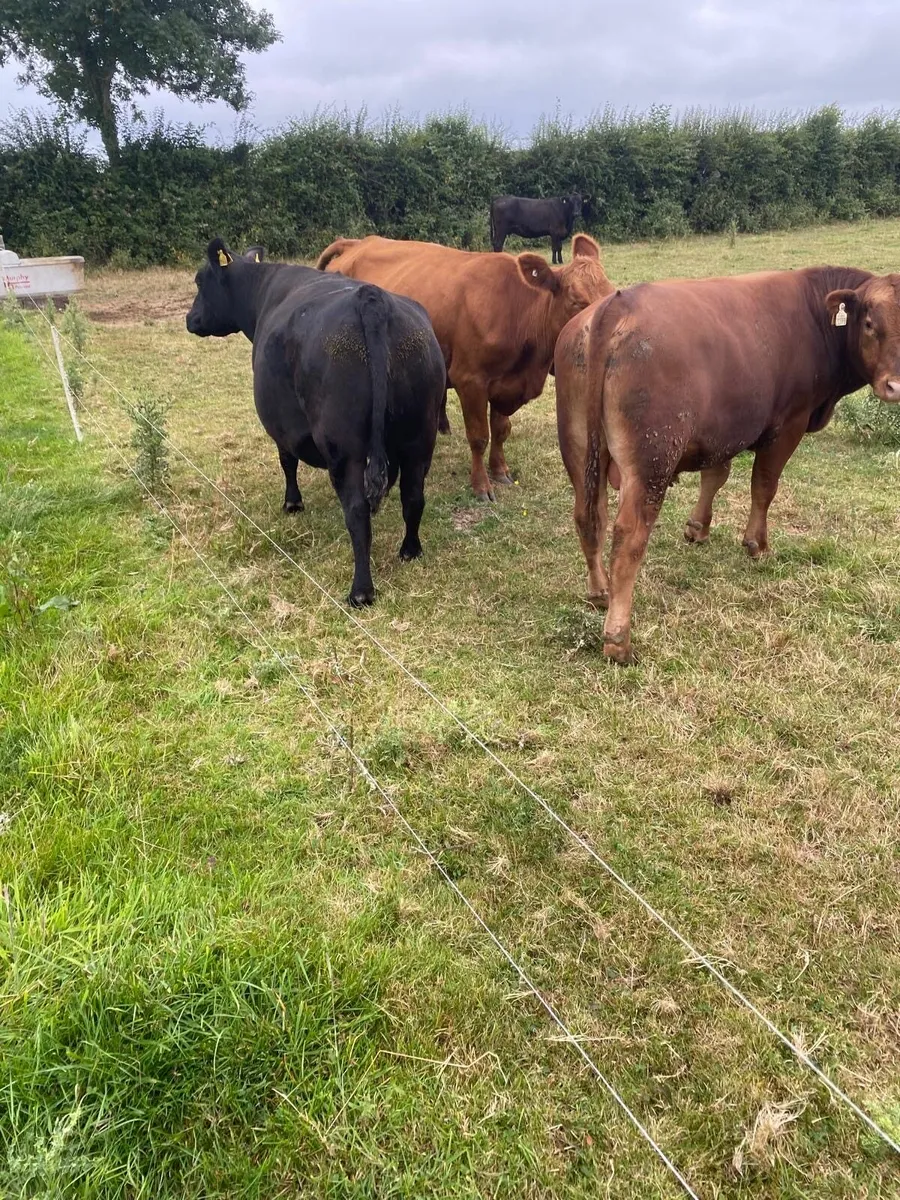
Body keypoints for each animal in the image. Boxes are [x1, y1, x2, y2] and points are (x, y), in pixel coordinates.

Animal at [186, 237, 447, 607]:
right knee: (413, 497)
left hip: (345, 447)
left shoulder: (282, 425)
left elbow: (287, 462)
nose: (190, 318)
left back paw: (361, 591)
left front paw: (292, 503)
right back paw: (410, 551)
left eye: (199, 281)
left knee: (357, 511)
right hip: (419, 437)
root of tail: (370, 298)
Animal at [316, 233, 614, 500]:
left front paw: (500, 471)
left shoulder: (506, 384)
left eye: (611, 294)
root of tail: (358, 242)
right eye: (577, 301)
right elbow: (479, 436)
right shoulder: (470, 380)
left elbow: (501, 430)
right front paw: (481, 485)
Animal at [554, 266, 900, 664]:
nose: (895, 385)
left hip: (579, 448)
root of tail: (615, 305)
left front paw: (697, 528)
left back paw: (599, 592)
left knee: (588, 515)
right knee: (628, 538)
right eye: (870, 323)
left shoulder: (722, 430)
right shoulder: (788, 424)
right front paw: (757, 544)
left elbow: (715, 475)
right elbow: (764, 486)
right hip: (651, 461)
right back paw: (618, 638)